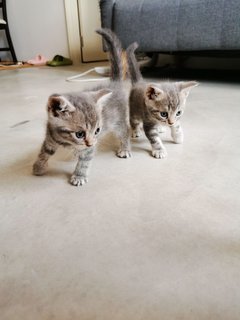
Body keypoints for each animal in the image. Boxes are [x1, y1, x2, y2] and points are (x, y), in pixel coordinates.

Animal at [32, 29, 130, 188]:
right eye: (79, 134)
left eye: (97, 130)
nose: (91, 142)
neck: (65, 141)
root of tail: (114, 84)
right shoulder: (50, 136)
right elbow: (45, 151)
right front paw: (39, 166)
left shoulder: (89, 148)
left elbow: (84, 160)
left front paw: (79, 175)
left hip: (119, 120)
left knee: (124, 131)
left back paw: (125, 148)